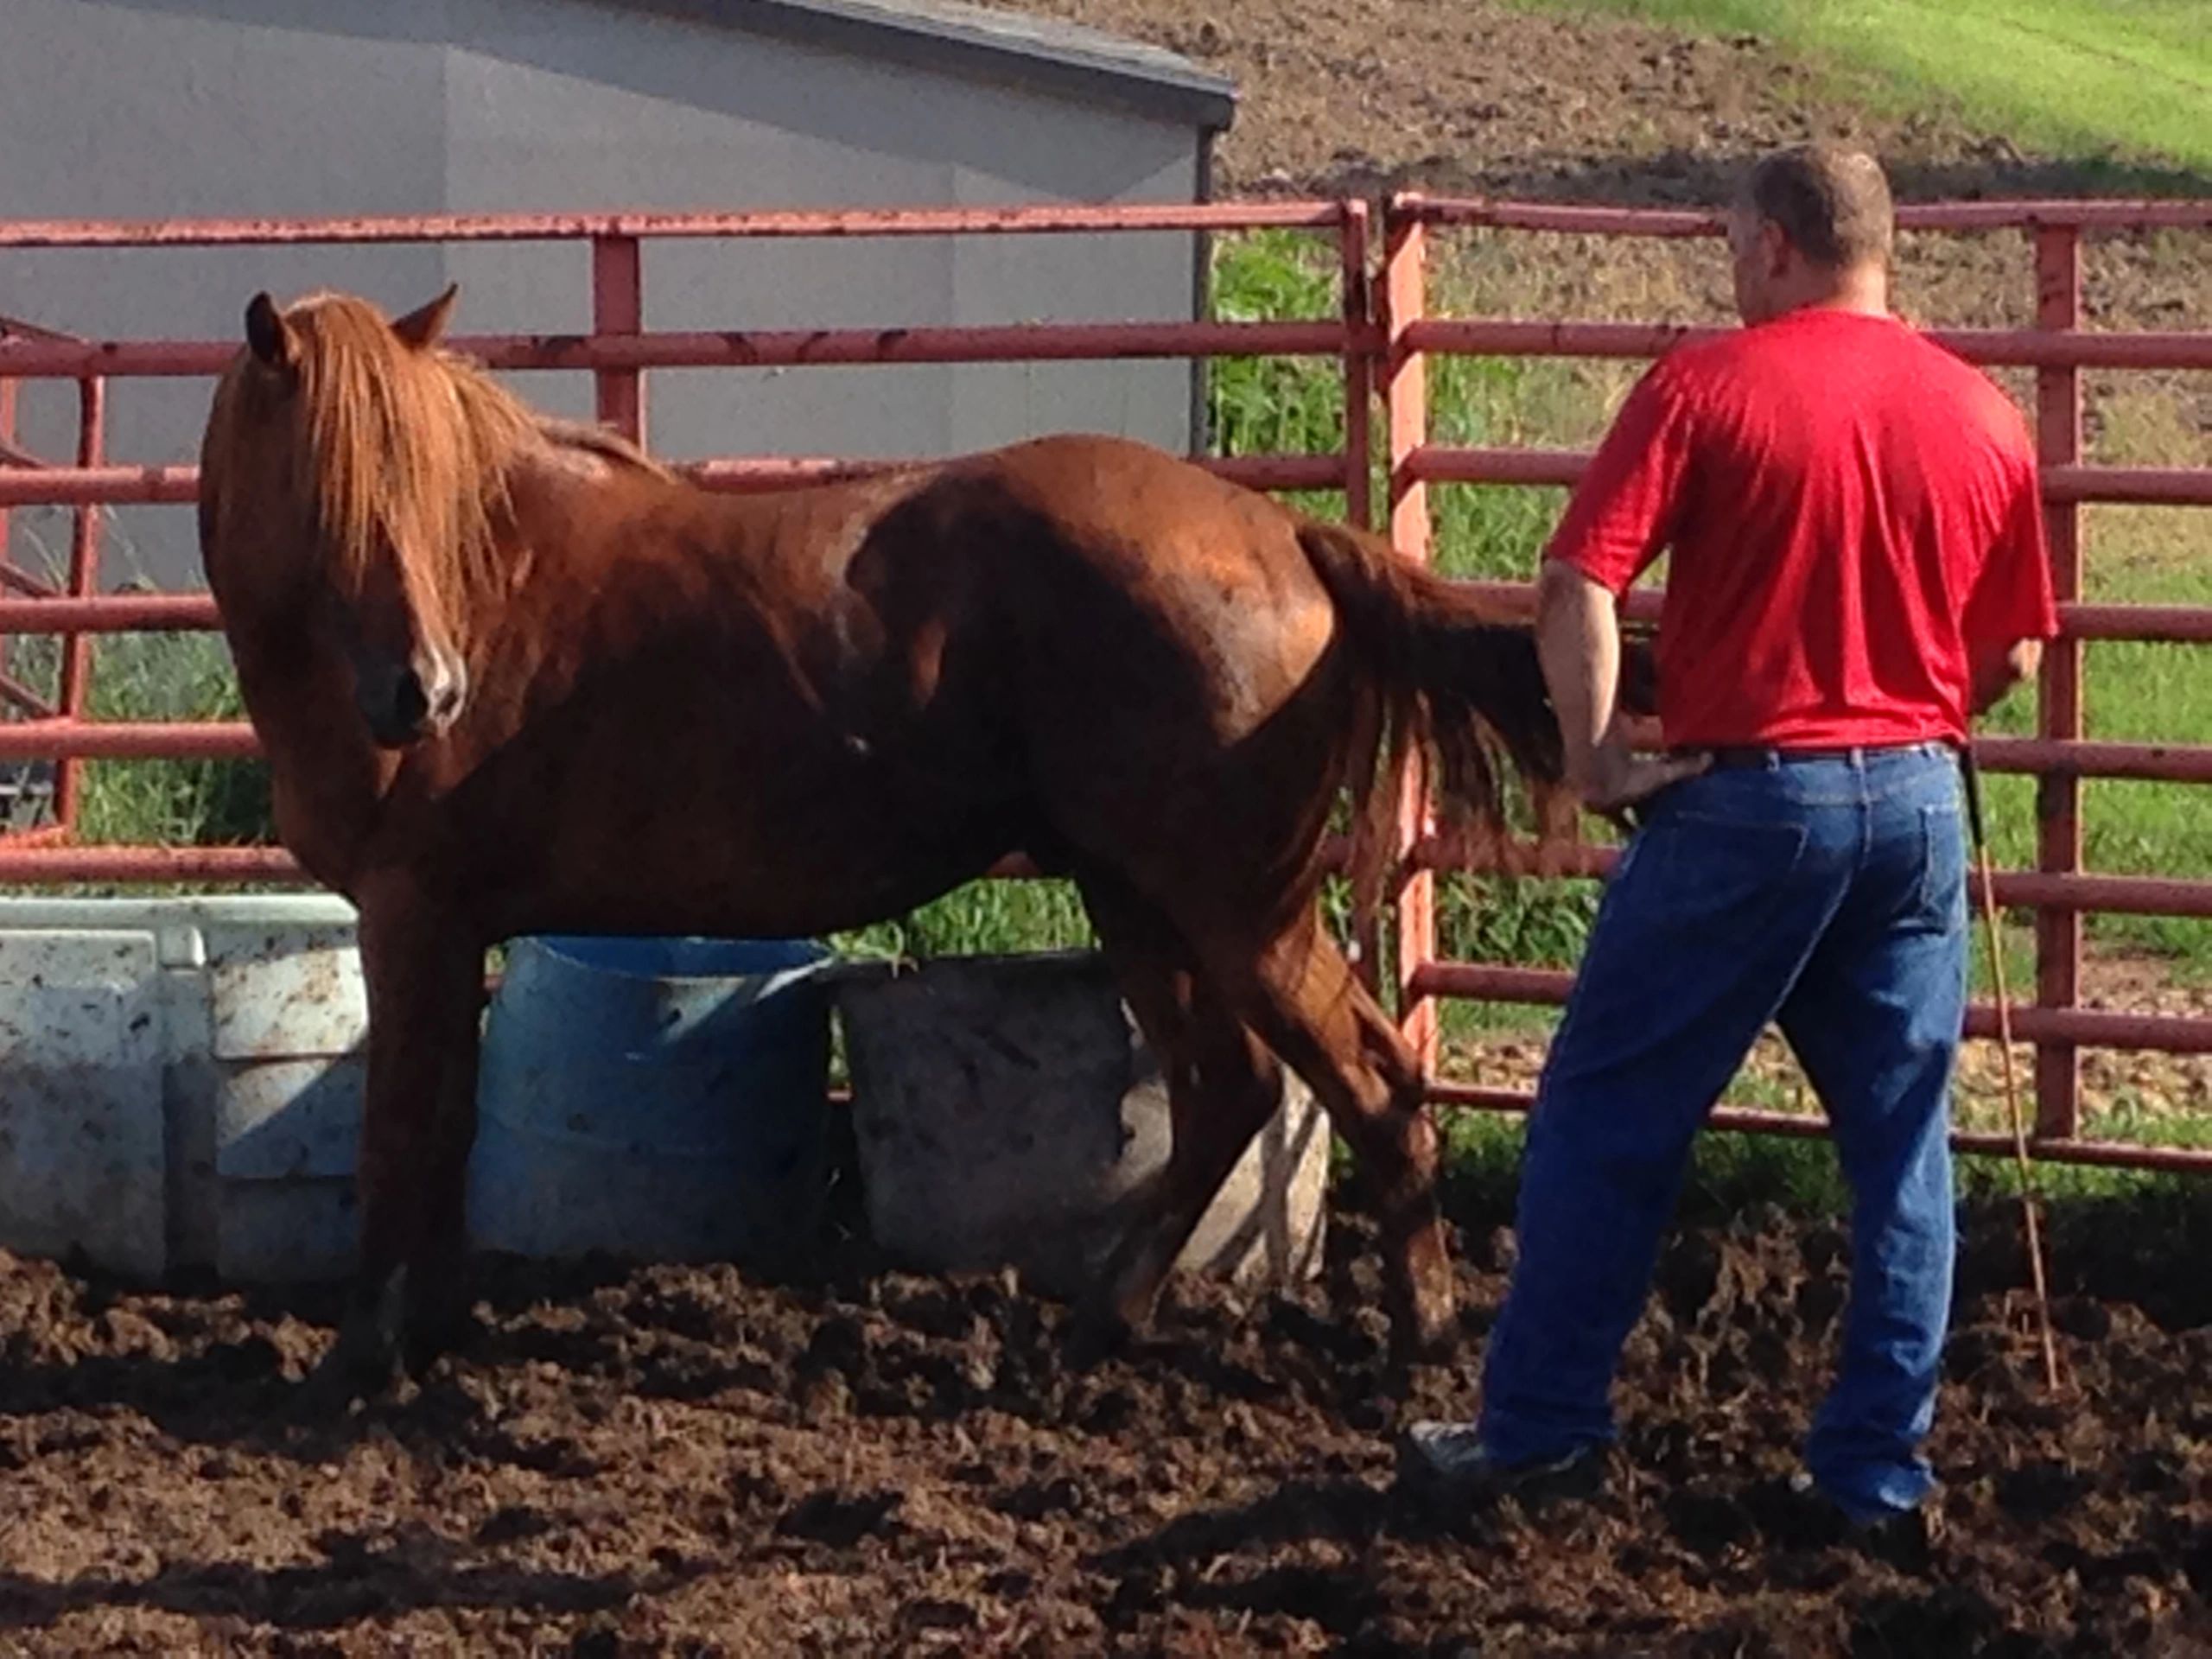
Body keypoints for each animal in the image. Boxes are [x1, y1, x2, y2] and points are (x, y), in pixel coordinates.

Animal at [199, 285, 1566, 1389]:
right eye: (328, 496)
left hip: (1238, 909)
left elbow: (401, 1133)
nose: (421, 694)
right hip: (1138, 898)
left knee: (1372, 1084)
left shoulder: (413, 915)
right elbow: (442, 1131)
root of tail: (1290, 541)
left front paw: (365, 1354)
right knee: (1226, 1090)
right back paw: (1095, 1331)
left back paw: (1421, 1342)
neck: (499, 592)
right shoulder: (450, 929)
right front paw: (419, 1335)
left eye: (427, 497)